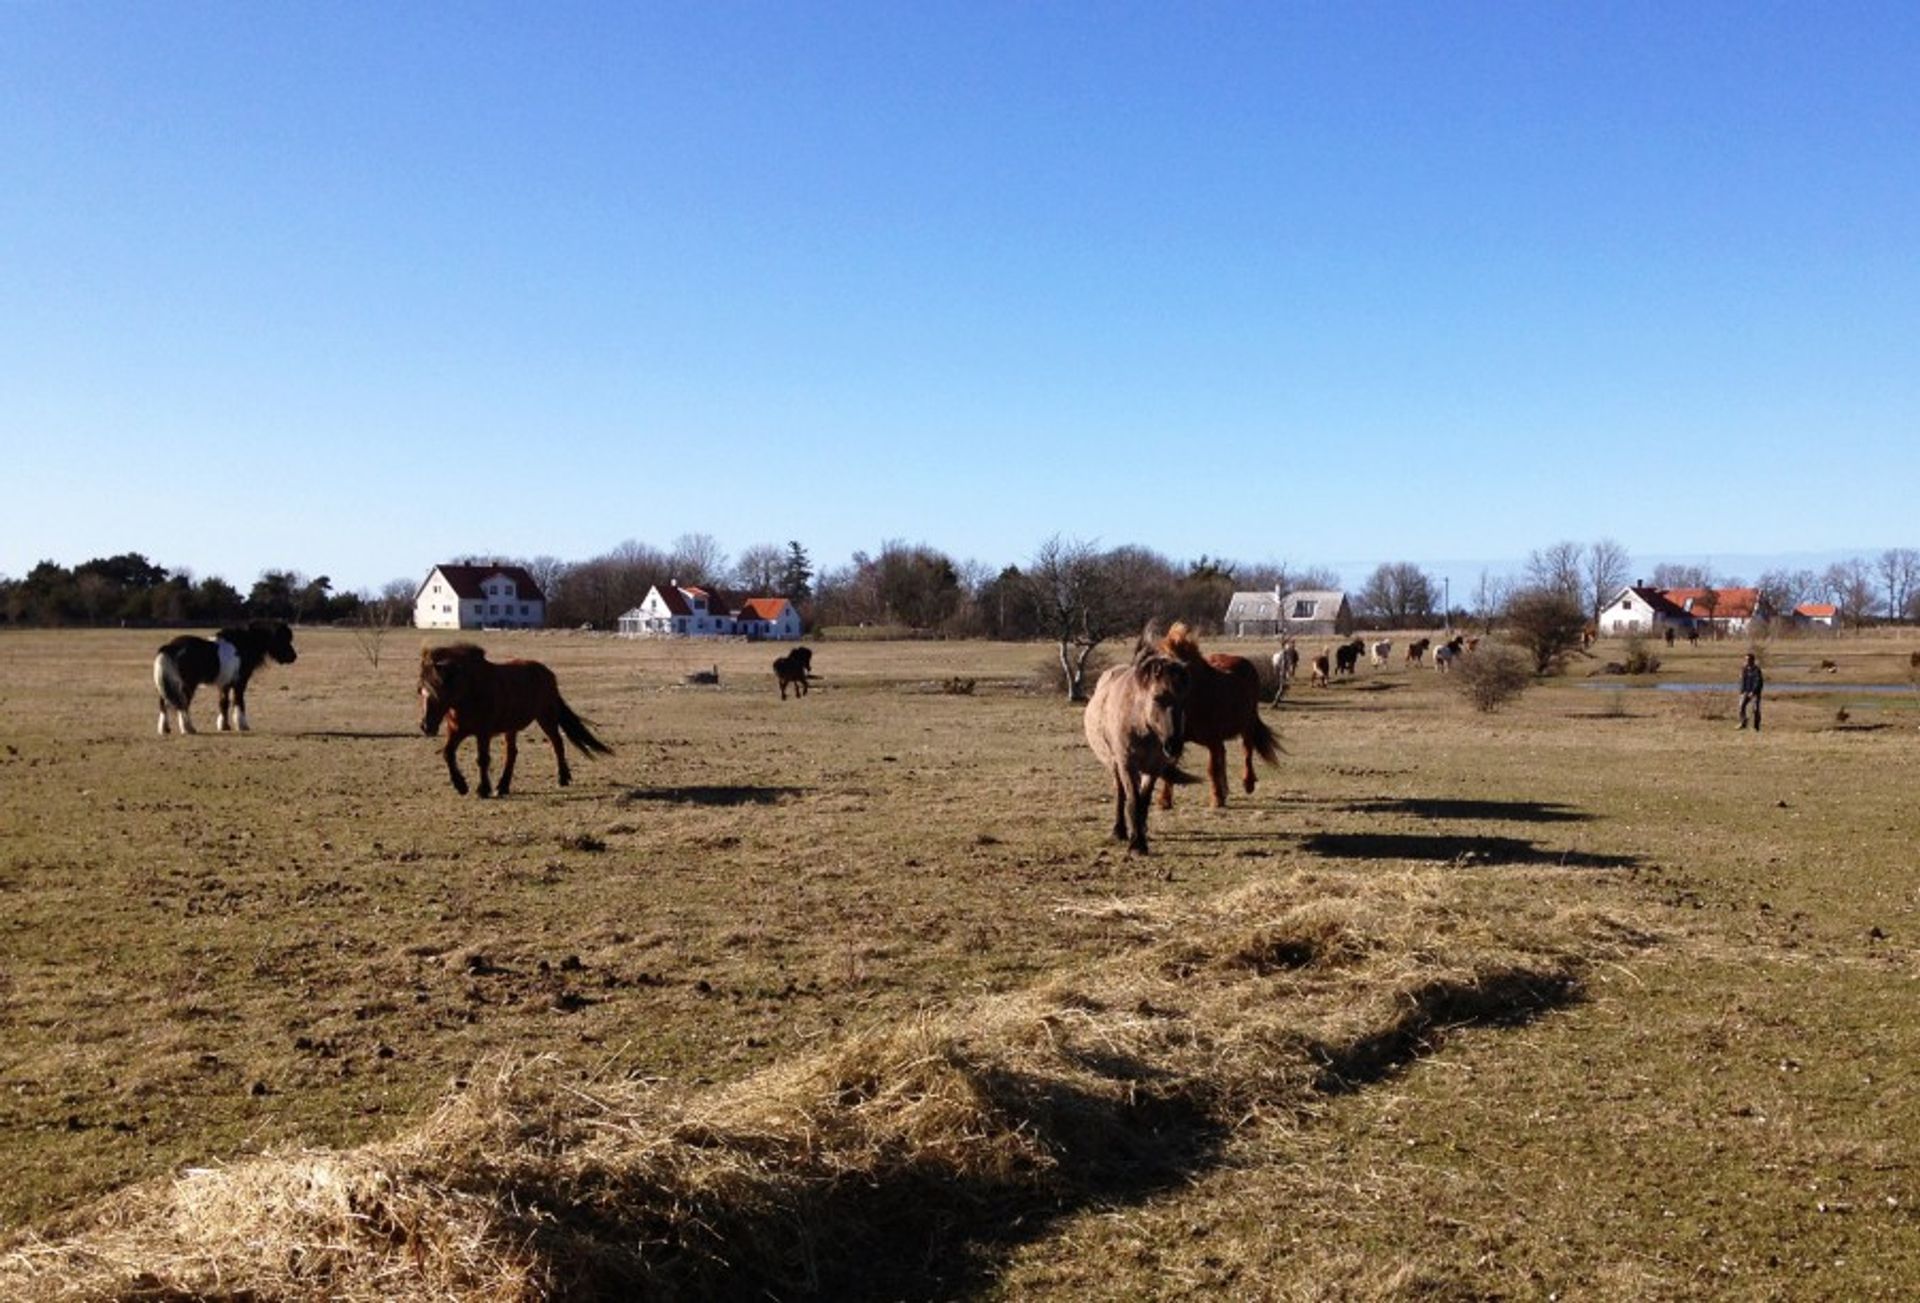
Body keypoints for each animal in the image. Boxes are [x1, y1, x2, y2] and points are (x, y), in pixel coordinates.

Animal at [153, 621, 297, 733]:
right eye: (283, 639)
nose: (293, 657)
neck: (244, 644)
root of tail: (170, 647)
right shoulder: (240, 682)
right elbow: (239, 701)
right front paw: (242, 725)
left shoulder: (224, 684)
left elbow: (223, 703)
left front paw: (224, 726)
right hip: (187, 685)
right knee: (183, 704)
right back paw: (188, 728)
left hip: (169, 684)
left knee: (164, 703)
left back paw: (165, 729)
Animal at [416, 640, 610, 794]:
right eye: (420, 691)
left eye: (438, 690)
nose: (426, 726)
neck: (470, 693)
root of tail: (547, 673)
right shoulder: (457, 731)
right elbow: (448, 754)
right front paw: (461, 786)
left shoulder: (483, 733)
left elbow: (483, 759)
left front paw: (483, 789)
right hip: (511, 727)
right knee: (512, 753)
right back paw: (503, 786)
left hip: (545, 717)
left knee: (557, 743)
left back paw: (562, 778)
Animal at [1152, 625, 1274, 813]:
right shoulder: (1176, 740)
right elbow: (1171, 766)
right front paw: (1164, 800)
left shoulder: (1212, 740)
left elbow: (1212, 768)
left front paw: (1216, 799)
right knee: (1224, 754)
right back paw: (1226, 790)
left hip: (1247, 724)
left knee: (1246, 750)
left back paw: (1247, 783)